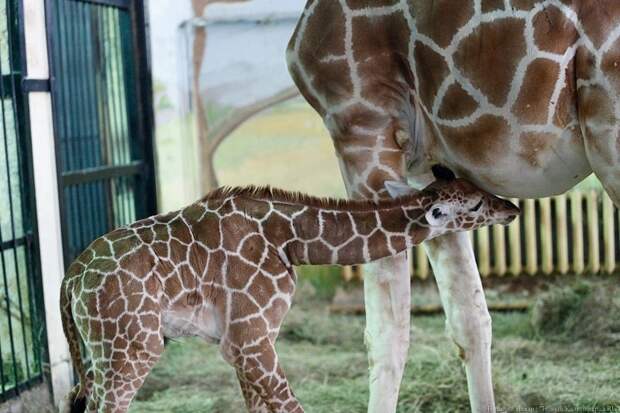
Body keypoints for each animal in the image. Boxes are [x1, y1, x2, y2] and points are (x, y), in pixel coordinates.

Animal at [61, 178, 520, 412]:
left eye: (476, 186)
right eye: (475, 204)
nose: (512, 208)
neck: (290, 239)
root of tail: (70, 279)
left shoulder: (250, 341)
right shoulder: (248, 340)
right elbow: (292, 407)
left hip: (99, 351)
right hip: (135, 346)